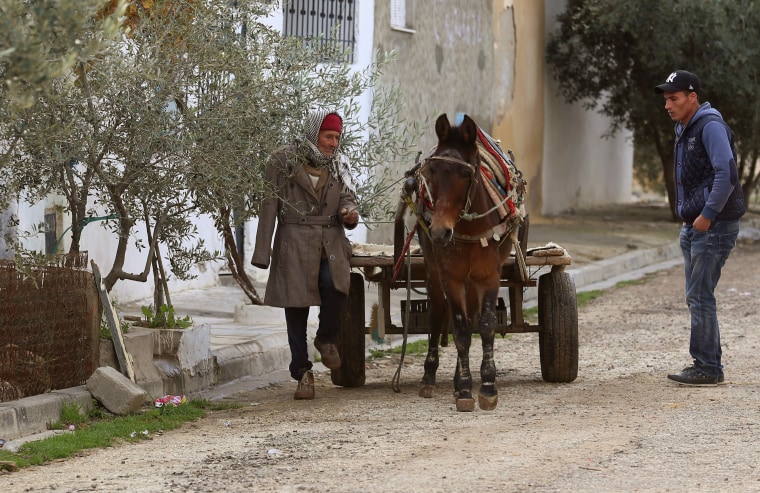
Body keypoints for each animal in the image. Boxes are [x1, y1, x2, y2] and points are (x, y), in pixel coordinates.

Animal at [398, 113, 524, 410]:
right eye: (431, 171)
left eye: (466, 174)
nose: (439, 232)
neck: (467, 226)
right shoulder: (451, 277)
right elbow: (460, 330)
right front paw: (466, 390)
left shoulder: (489, 276)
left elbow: (485, 326)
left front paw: (487, 386)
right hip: (434, 273)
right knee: (437, 317)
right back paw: (430, 378)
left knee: (472, 316)